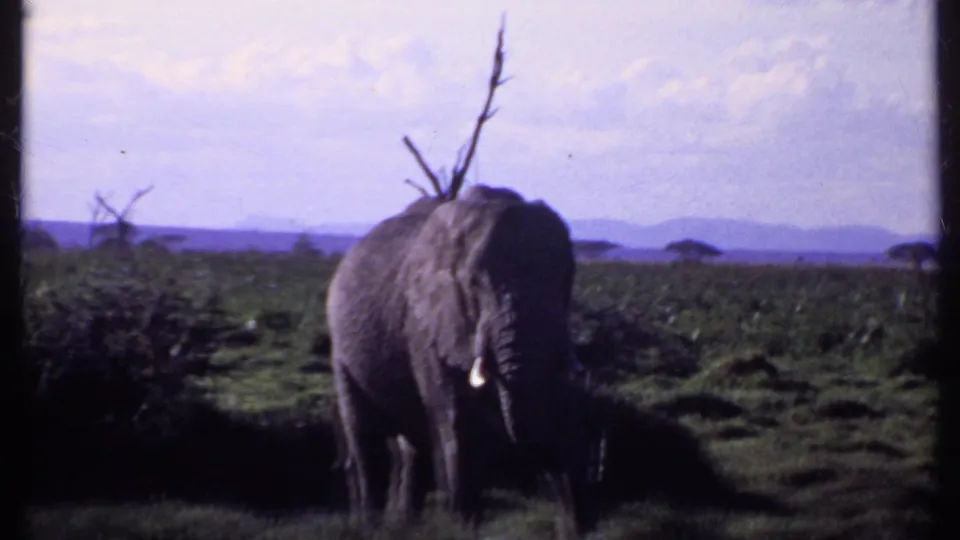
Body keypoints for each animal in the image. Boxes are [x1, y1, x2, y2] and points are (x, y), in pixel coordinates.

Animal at [325, 185, 597, 537]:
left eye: (567, 277)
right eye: (475, 283)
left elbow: (560, 406)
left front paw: (577, 530)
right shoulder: (424, 323)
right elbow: (457, 420)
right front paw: (464, 530)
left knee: (414, 443)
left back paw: (404, 524)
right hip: (342, 350)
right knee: (365, 440)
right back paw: (369, 526)